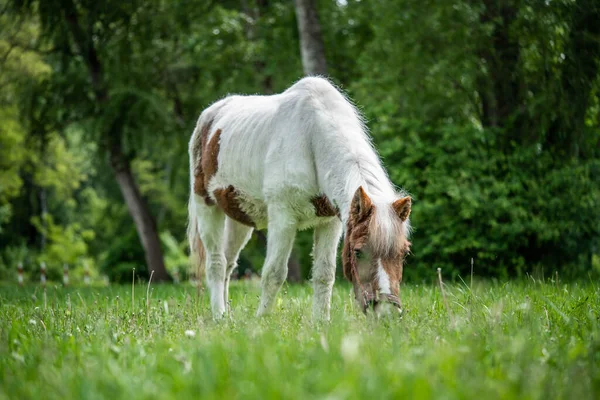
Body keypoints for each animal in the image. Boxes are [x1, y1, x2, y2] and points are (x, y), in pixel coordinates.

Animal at [189, 76, 412, 320]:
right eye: (358, 251)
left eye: (403, 253)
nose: (387, 313)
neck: (312, 139)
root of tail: (209, 115)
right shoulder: (282, 219)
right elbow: (274, 273)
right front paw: (261, 320)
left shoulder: (330, 222)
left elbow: (324, 274)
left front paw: (321, 322)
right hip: (207, 207)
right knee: (216, 264)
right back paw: (219, 316)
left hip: (240, 219)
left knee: (229, 262)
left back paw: (228, 316)